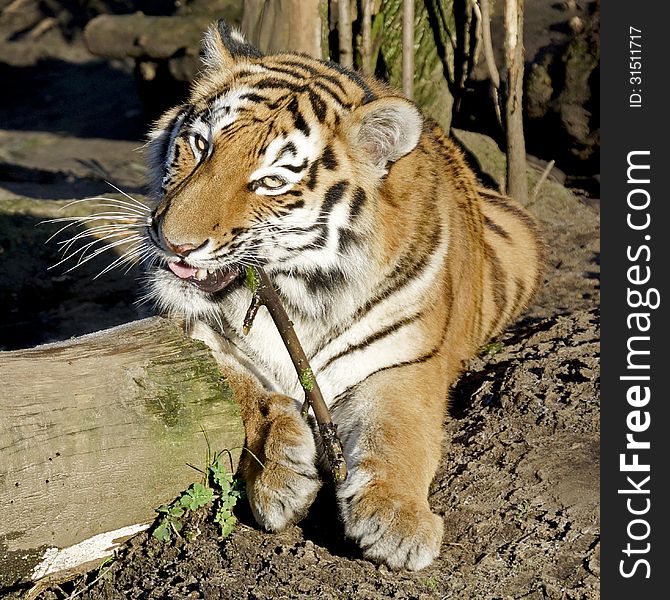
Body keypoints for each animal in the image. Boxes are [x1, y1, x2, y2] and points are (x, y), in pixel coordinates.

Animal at [139, 19, 544, 572]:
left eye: (270, 181)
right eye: (200, 146)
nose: (173, 241)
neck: (299, 293)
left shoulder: (404, 363)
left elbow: (397, 431)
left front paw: (398, 521)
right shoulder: (199, 335)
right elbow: (244, 391)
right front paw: (281, 477)